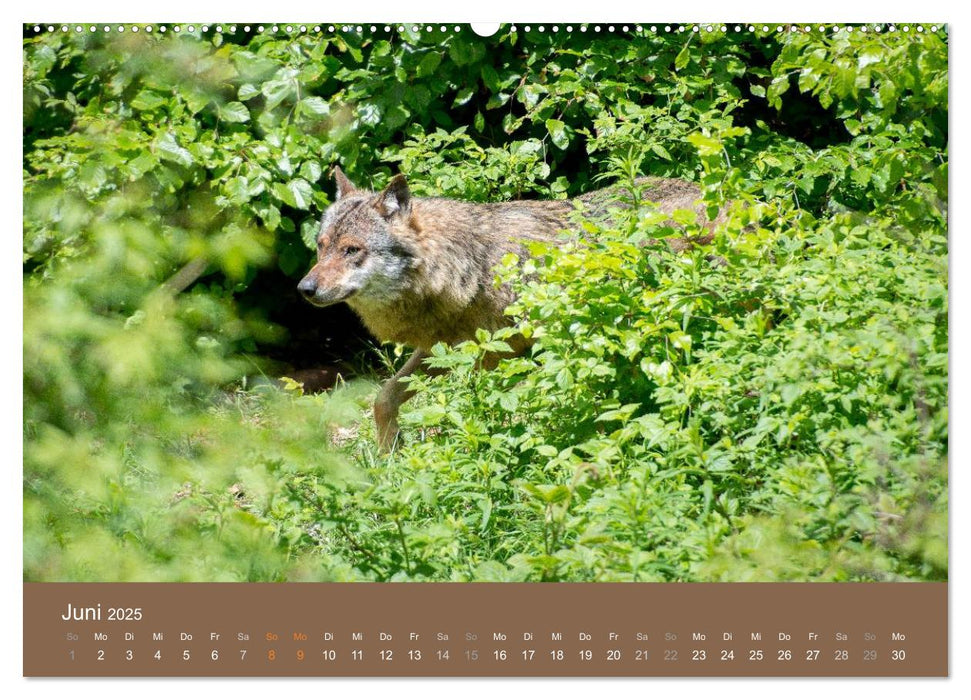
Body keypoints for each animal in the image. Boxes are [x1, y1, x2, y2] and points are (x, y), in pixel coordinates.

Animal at [298, 170, 720, 454]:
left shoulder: (528, 348)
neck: (470, 269)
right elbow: (384, 400)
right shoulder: (444, 349)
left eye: (352, 250)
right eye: (321, 246)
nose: (305, 289)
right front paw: (389, 459)